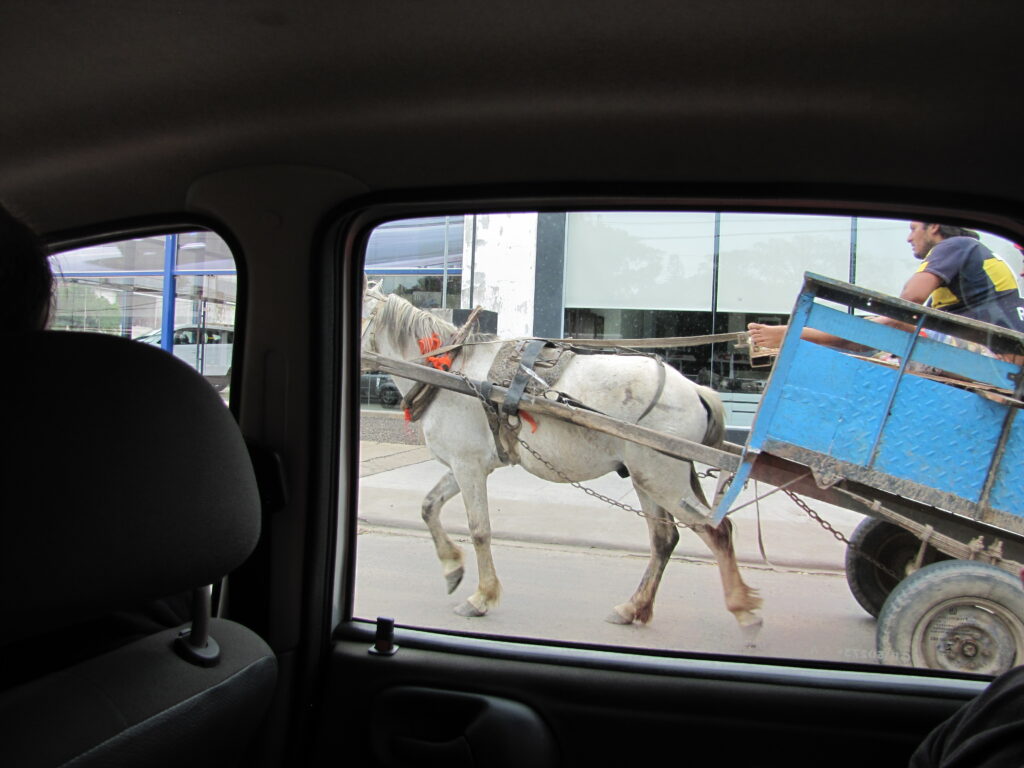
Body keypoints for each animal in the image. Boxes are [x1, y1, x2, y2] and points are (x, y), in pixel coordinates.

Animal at [360, 280, 761, 630]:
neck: (452, 373)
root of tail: (694, 389)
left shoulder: (468, 465)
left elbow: (480, 530)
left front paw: (482, 596)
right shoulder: (465, 465)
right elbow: (429, 507)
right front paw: (452, 568)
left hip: (664, 479)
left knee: (717, 530)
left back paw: (741, 607)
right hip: (648, 479)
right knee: (664, 540)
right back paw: (634, 607)